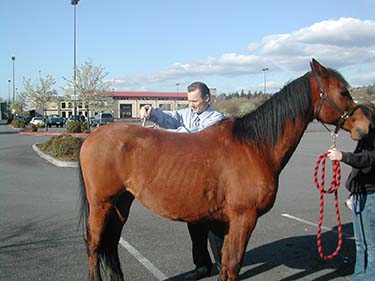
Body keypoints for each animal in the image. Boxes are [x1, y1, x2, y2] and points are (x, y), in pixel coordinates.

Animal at [78, 58, 372, 278]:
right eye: (343, 92)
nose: (364, 126)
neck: (255, 146)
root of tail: (93, 137)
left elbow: (227, 262)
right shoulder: (244, 218)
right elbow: (232, 264)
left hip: (121, 203)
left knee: (110, 244)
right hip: (101, 204)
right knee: (93, 245)